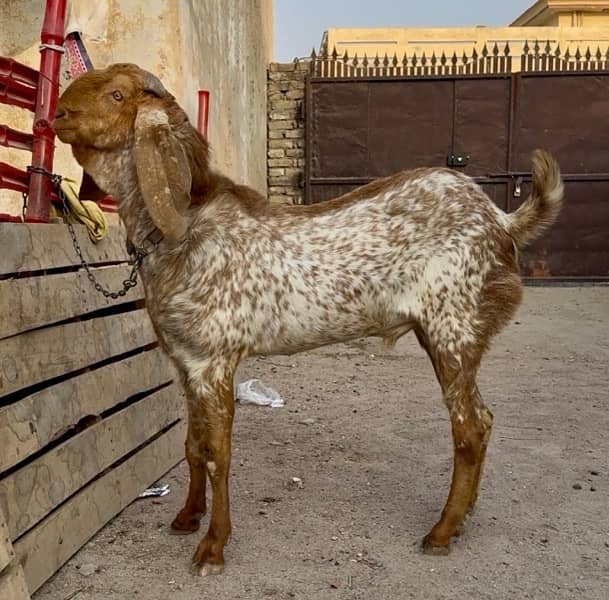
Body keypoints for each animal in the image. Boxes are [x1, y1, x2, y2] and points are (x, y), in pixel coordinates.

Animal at [54, 63, 564, 576]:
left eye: (117, 95)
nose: (58, 112)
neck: (184, 231)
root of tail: (501, 220)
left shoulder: (214, 361)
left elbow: (218, 455)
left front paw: (213, 547)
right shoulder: (185, 362)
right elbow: (192, 446)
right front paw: (186, 518)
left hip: (452, 329)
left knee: (470, 426)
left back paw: (441, 531)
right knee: (483, 419)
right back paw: (464, 516)